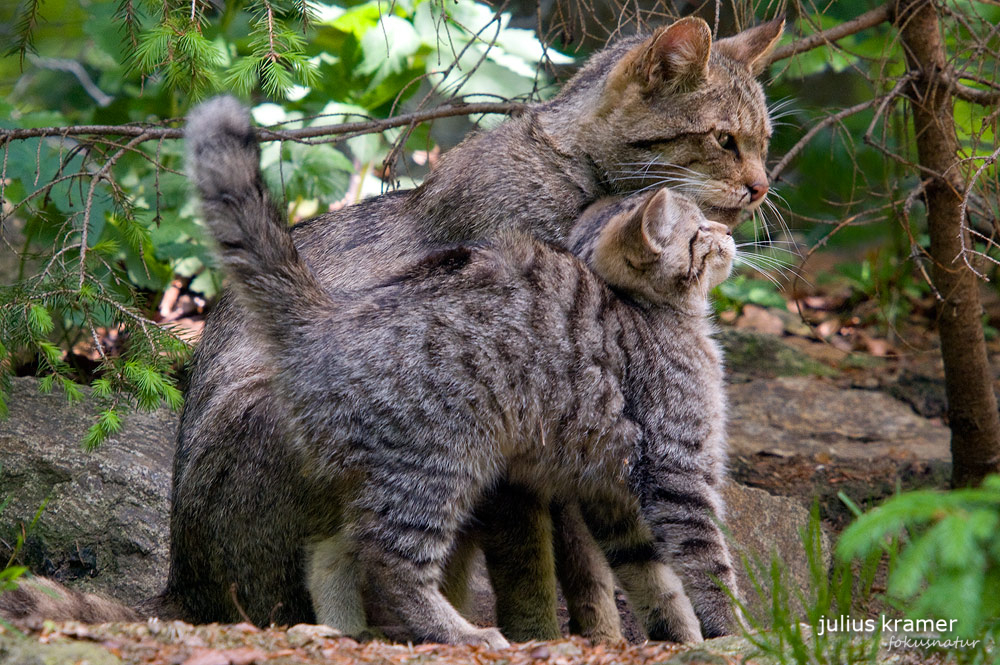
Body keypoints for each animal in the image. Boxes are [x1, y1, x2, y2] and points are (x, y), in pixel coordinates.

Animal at [170, 14, 780, 640]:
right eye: (724, 140)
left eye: (763, 144)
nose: (761, 187)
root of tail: (182, 585)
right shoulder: (530, 448)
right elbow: (533, 563)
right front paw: (543, 633)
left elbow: (594, 563)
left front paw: (608, 633)